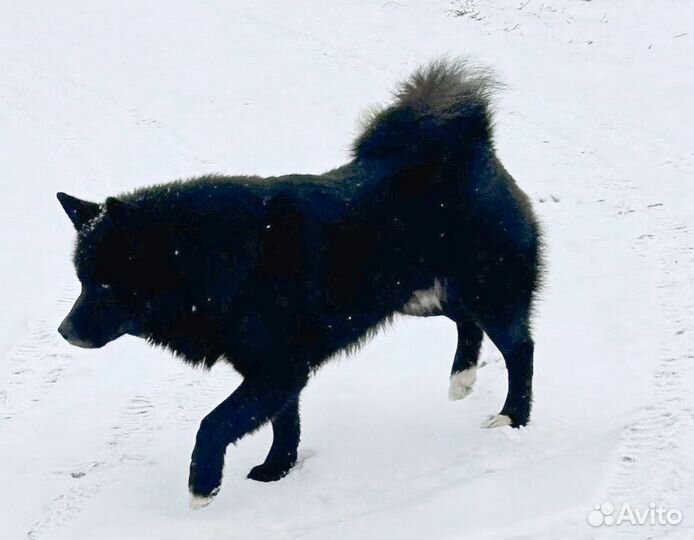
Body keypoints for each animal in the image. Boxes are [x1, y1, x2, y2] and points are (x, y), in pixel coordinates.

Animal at [57, 59, 544, 506]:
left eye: (105, 285)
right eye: (82, 281)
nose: (64, 331)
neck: (214, 262)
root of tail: (471, 146)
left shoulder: (276, 368)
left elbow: (215, 423)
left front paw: (203, 486)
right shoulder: (278, 370)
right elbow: (283, 423)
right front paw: (278, 470)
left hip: (486, 289)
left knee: (520, 348)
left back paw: (513, 416)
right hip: (422, 294)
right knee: (466, 321)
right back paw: (462, 377)